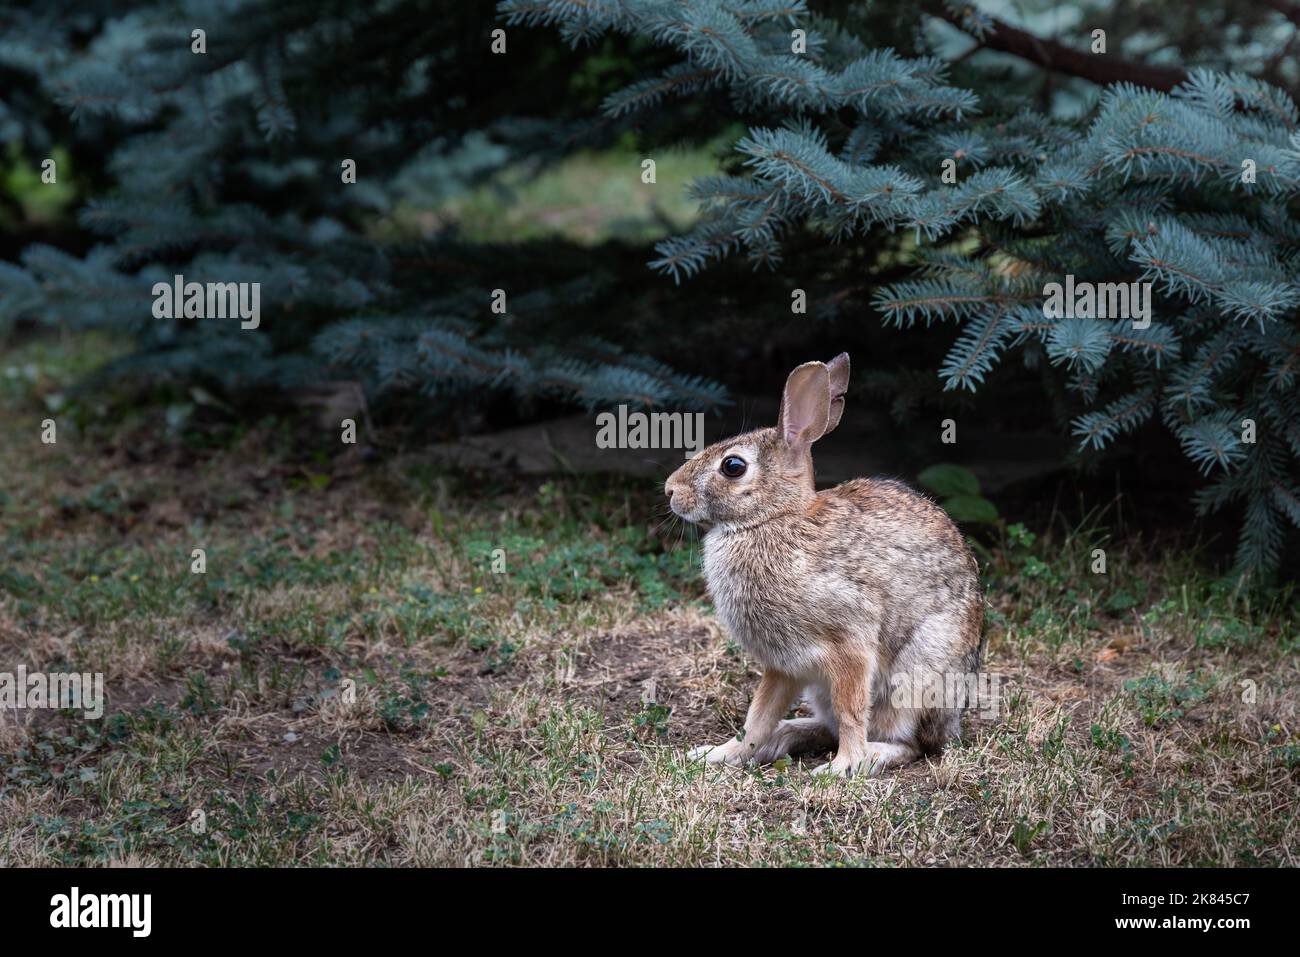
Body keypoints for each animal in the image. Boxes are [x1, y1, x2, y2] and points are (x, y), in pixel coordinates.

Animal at [664, 354, 984, 777]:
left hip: (915, 677)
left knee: (910, 744)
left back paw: (867, 757)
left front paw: (841, 768)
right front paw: (722, 753)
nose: (670, 489)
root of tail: (953, 720)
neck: (772, 519)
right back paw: (783, 737)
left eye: (732, 466)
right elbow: (757, 717)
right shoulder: (785, 666)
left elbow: (851, 713)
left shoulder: (851, 643)